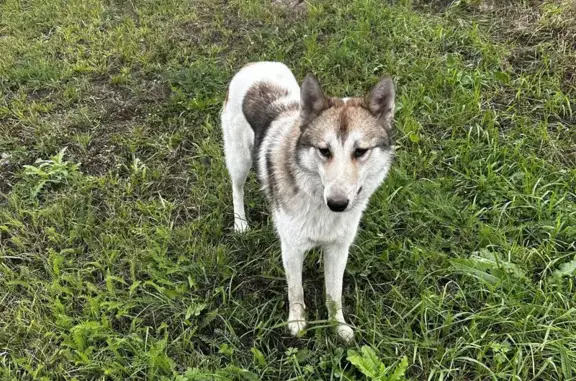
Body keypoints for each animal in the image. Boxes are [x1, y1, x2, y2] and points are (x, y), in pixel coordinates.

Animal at [220, 61, 396, 342]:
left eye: (360, 151)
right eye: (324, 151)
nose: (337, 204)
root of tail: (255, 64)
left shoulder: (339, 249)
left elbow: (334, 294)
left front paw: (338, 326)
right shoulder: (291, 249)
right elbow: (296, 290)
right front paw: (297, 323)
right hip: (238, 158)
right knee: (237, 189)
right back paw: (240, 224)